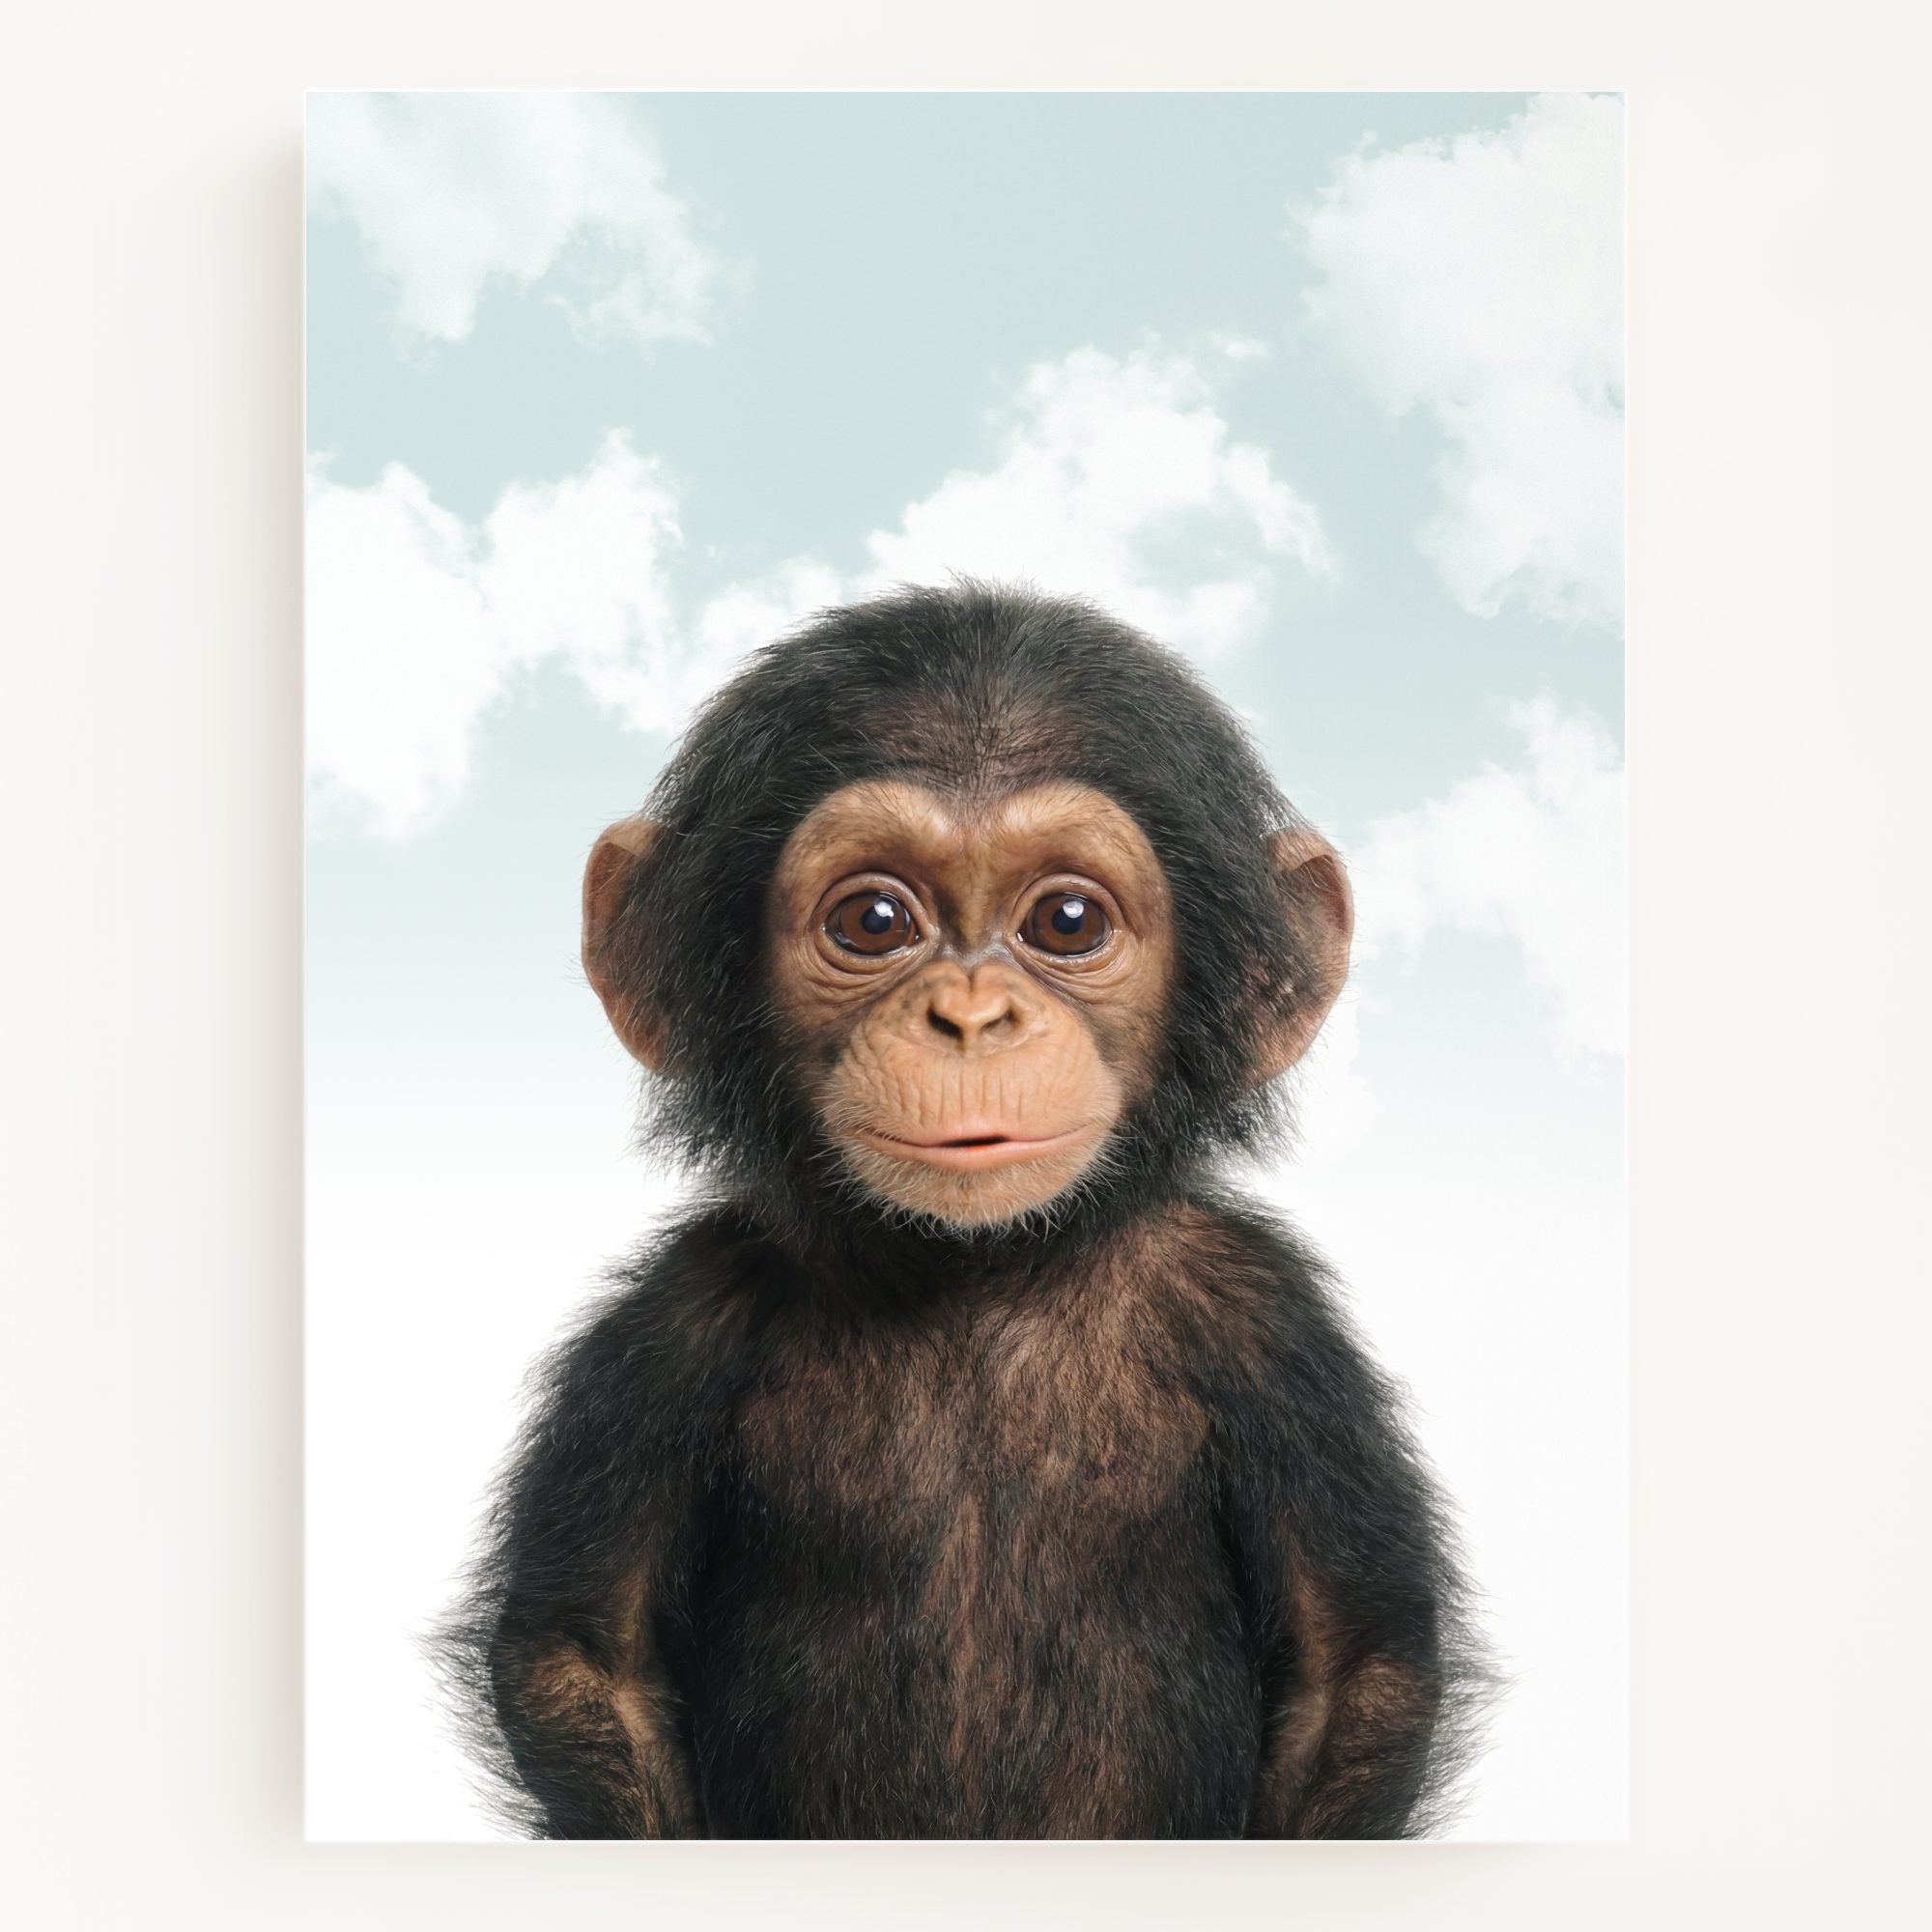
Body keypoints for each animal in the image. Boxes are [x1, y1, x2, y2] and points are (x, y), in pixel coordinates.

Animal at [438, 580, 1489, 1839]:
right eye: (875, 920)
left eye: (1068, 920)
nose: (972, 1016)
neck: (974, 1269)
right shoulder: (672, 1325)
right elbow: (585, 1655)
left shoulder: (1267, 1322)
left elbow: (1352, 1667)